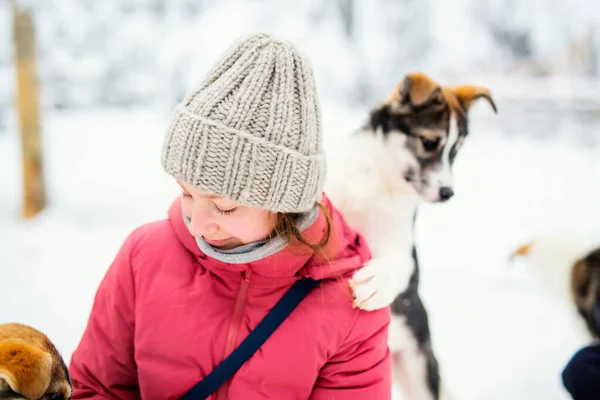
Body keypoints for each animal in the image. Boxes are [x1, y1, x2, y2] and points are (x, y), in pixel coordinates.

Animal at [326, 72, 494, 400]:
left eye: (455, 151)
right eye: (429, 142)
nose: (448, 193)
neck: (381, 180)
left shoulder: (399, 243)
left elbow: (397, 262)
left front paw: (377, 282)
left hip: (419, 371)